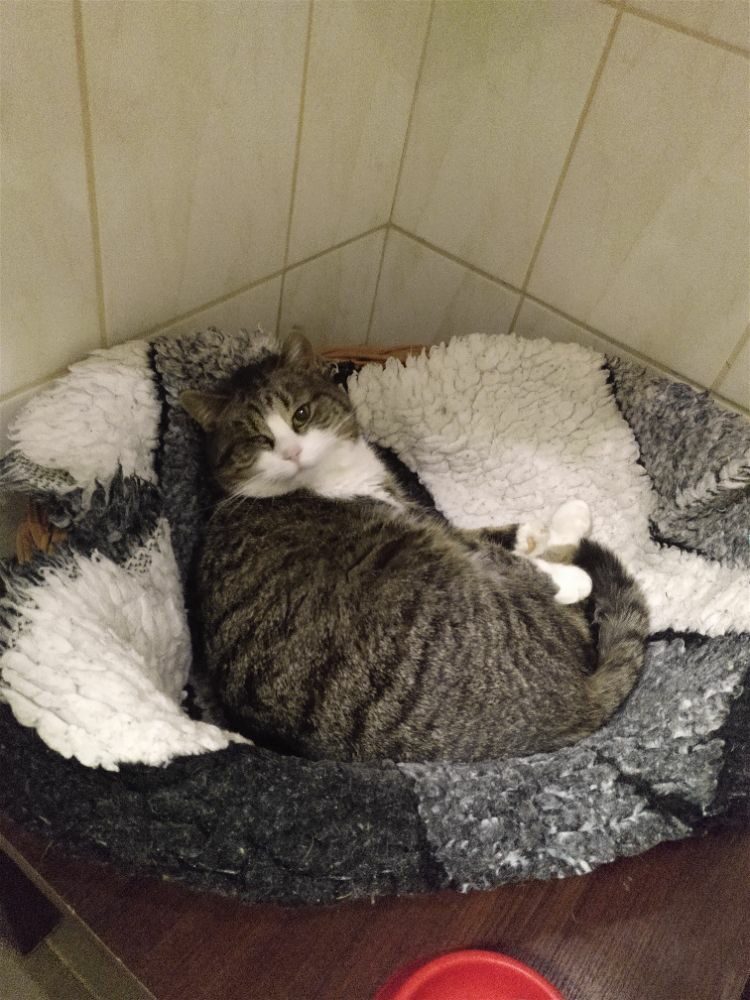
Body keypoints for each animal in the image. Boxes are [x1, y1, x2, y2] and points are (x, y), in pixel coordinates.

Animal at [181, 333, 648, 763]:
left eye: (301, 415)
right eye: (258, 440)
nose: (292, 452)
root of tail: (576, 707)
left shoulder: (425, 515)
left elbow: (497, 532)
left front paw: (539, 529)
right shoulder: (422, 526)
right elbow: (506, 553)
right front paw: (569, 560)